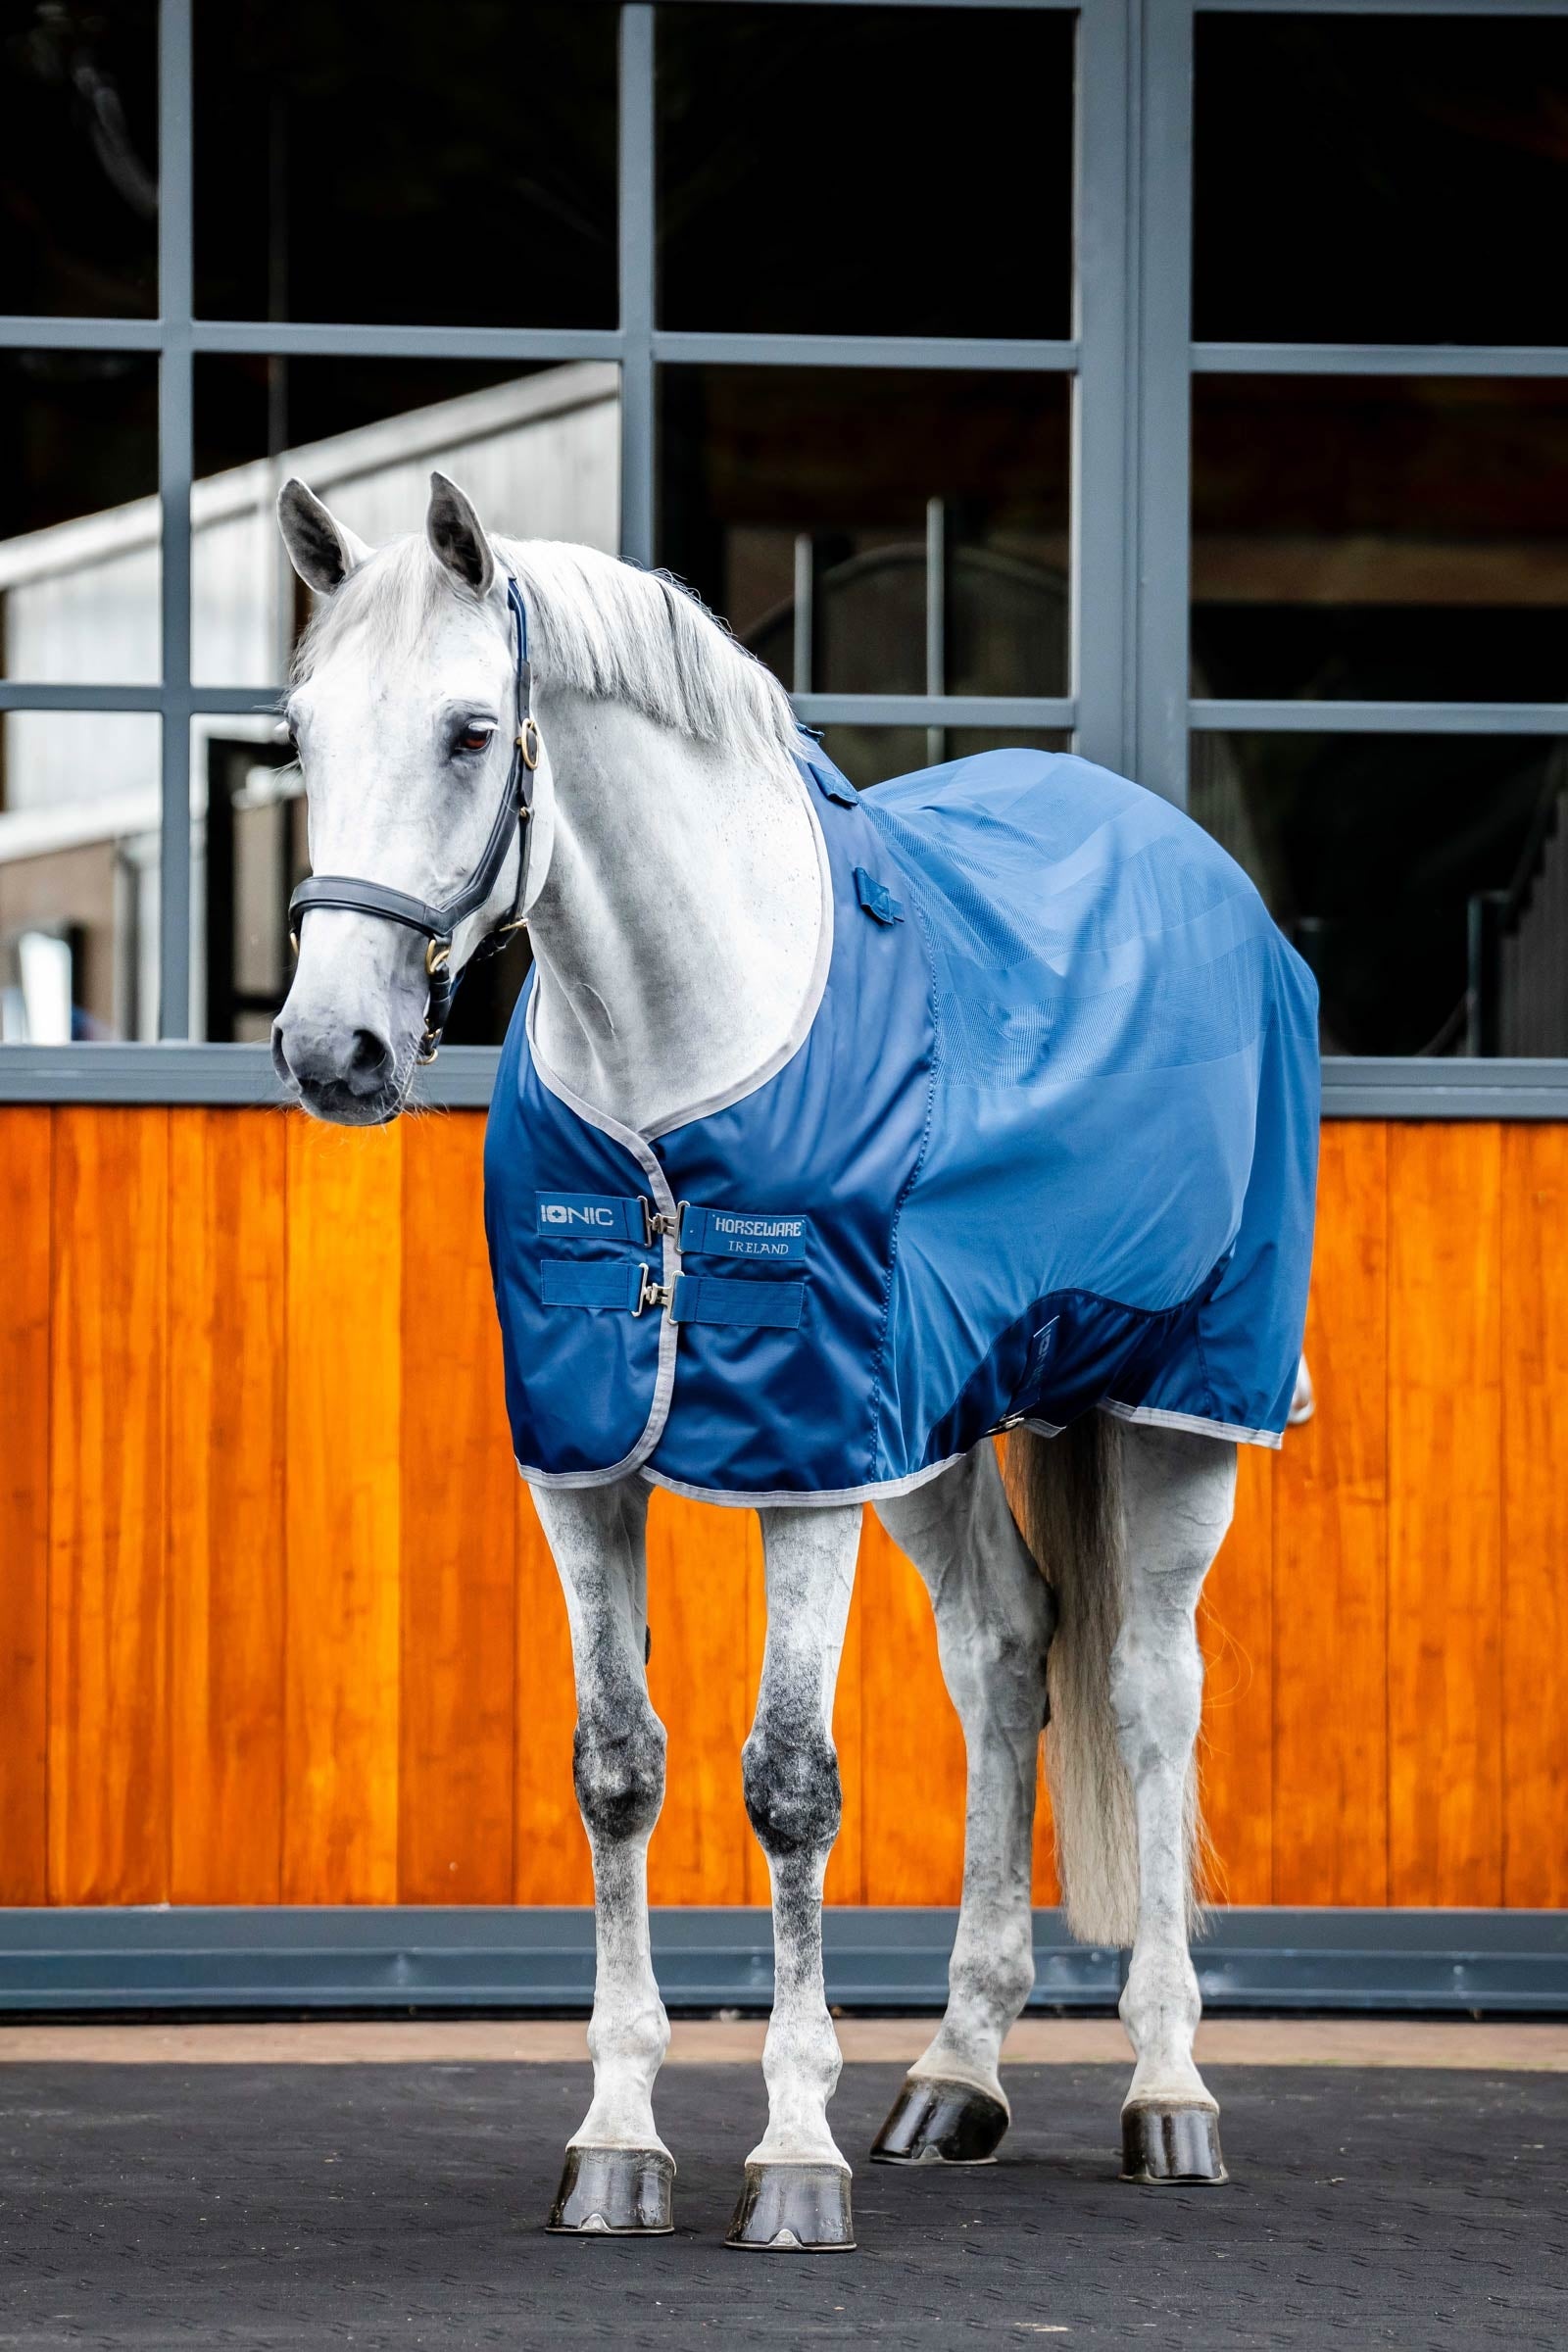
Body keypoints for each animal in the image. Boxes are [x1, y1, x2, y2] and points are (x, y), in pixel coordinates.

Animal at [272, 470, 1319, 2252]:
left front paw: (793, 2156)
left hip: (1181, 1402)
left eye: (474, 733)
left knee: (1148, 1691)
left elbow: (790, 1786)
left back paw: (1167, 2091)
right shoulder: (594, 1463)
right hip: (942, 1426)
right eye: (301, 732)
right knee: (1005, 1654)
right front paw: (618, 2142)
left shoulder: (811, 1457)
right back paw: (955, 2078)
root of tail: (1200, 870)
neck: (678, 1057)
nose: (329, 1047)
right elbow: (616, 1770)